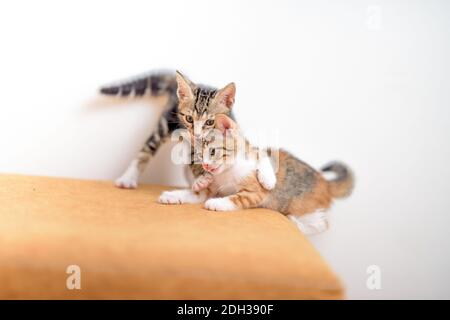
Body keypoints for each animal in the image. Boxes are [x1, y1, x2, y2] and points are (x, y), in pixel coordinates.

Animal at [159, 115, 356, 235]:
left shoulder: (256, 192)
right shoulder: (211, 188)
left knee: (322, 224)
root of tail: (325, 182)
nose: (206, 165)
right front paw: (172, 196)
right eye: (200, 156)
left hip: (306, 208)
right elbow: (193, 193)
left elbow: (236, 198)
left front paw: (217, 203)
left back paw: (296, 222)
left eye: (213, 151)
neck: (227, 173)